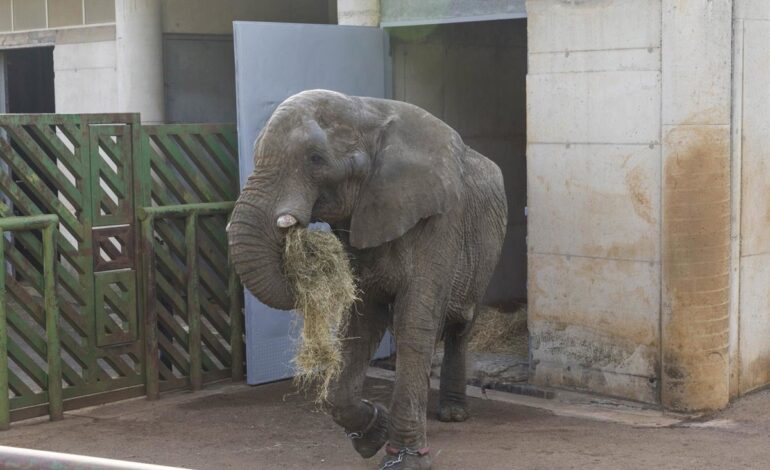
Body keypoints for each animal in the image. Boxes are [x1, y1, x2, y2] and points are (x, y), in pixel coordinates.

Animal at [228, 89, 507, 470]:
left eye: (315, 159)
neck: (366, 111)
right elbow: (362, 319)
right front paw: (374, 435)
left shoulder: (440, 221)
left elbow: (414, 322)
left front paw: (406, 460)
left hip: (485, 256)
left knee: (459, 326)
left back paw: (452, 414)